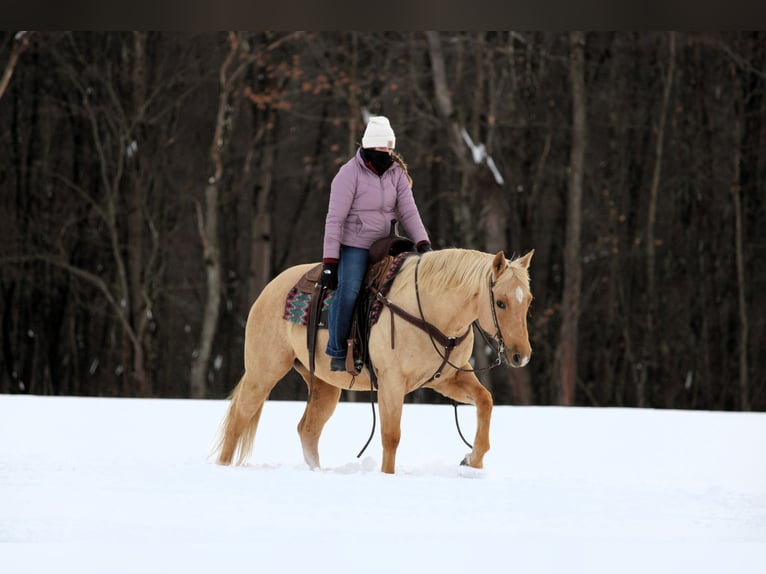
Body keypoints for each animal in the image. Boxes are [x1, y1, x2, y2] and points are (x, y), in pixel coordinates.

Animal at [213, 248, 534, 474]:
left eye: (528, 300)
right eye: (501, 302)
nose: (521, 355)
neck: (430, 311)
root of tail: (270, 289)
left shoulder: (447, 378)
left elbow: (485, 401)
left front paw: (473, 461)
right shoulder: (392, 382)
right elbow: (391, 436)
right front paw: (387, 476)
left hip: (324, 386)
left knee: (308, 429)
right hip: (263, 371)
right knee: (239, 418)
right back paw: (224, 467)